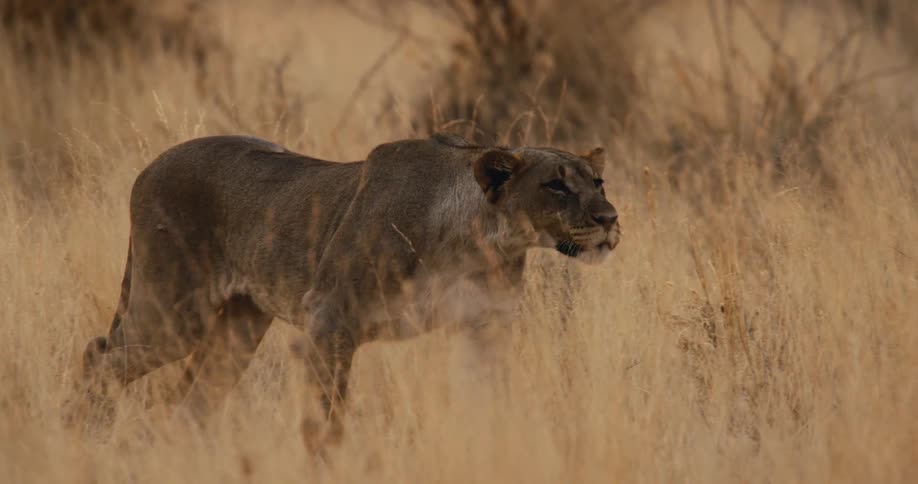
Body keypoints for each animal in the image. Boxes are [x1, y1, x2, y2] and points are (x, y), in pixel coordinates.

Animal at [69, 133, 620, 443]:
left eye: (598, 182)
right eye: (556, 185)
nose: (610, 218)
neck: (477, 241)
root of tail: (151, 166)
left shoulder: (484, 327)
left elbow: (486, 400)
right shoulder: (330, 318)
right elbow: (326, 417)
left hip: (240, 324)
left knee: (193, 394)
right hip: (176, 313)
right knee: (98, 354)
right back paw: (83, 433)